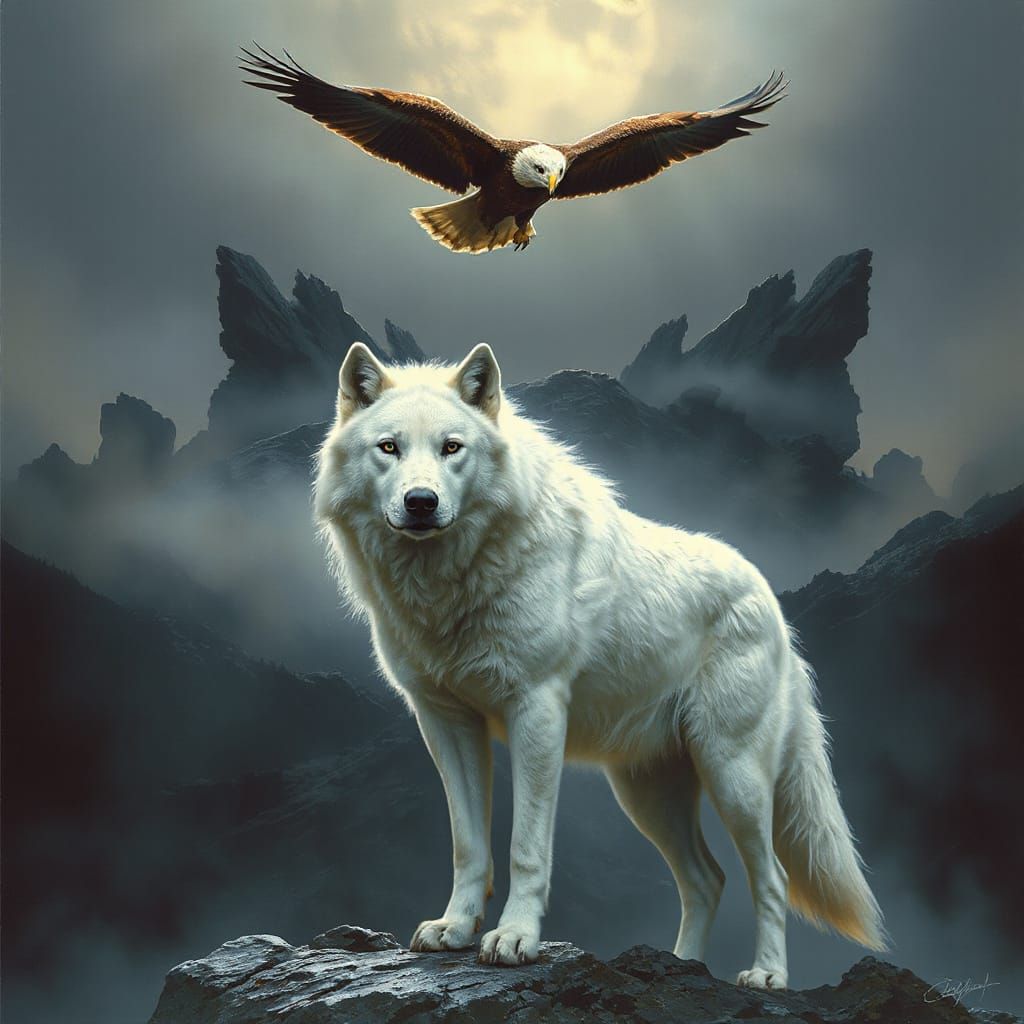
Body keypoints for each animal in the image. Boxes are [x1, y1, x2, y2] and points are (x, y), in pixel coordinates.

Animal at [313, 342, 887, 989]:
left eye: (451, 448)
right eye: (388, 447)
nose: (420, 502)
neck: (452, 584)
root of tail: (774, 606)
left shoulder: (537, 711)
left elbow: (526, 847)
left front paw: (514, 939)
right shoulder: (444, 723)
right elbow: (469, 845)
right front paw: (454, 929)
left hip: (732, 775)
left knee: (772, 877)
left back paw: (766, 976)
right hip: (646, 794)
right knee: (706, 878)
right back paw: (680, 966)